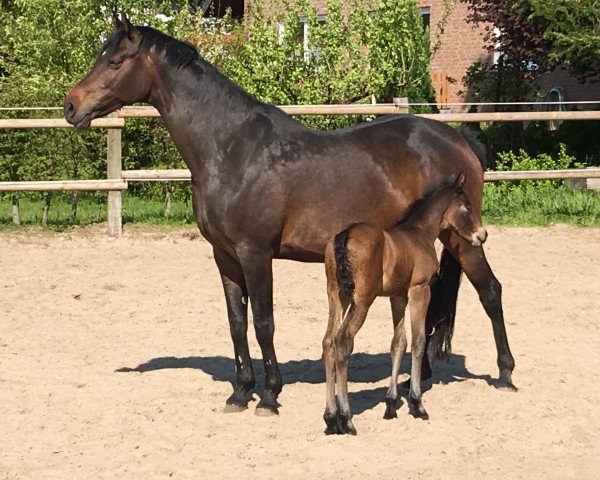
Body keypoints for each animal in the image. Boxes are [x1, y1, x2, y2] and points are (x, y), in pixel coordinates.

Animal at [324, 172, 488, 436]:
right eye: (467, 206)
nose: (482, 235)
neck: (420, 233)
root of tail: (344, 235)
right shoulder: (419, 290)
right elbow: (418, 342)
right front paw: (417, 403)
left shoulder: (397, 296)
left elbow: (398, 344)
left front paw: (391, 405)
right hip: (362, 300)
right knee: (343, 342)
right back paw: (346, 419)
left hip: (337, 295)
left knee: (328, 342)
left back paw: (330, 419)